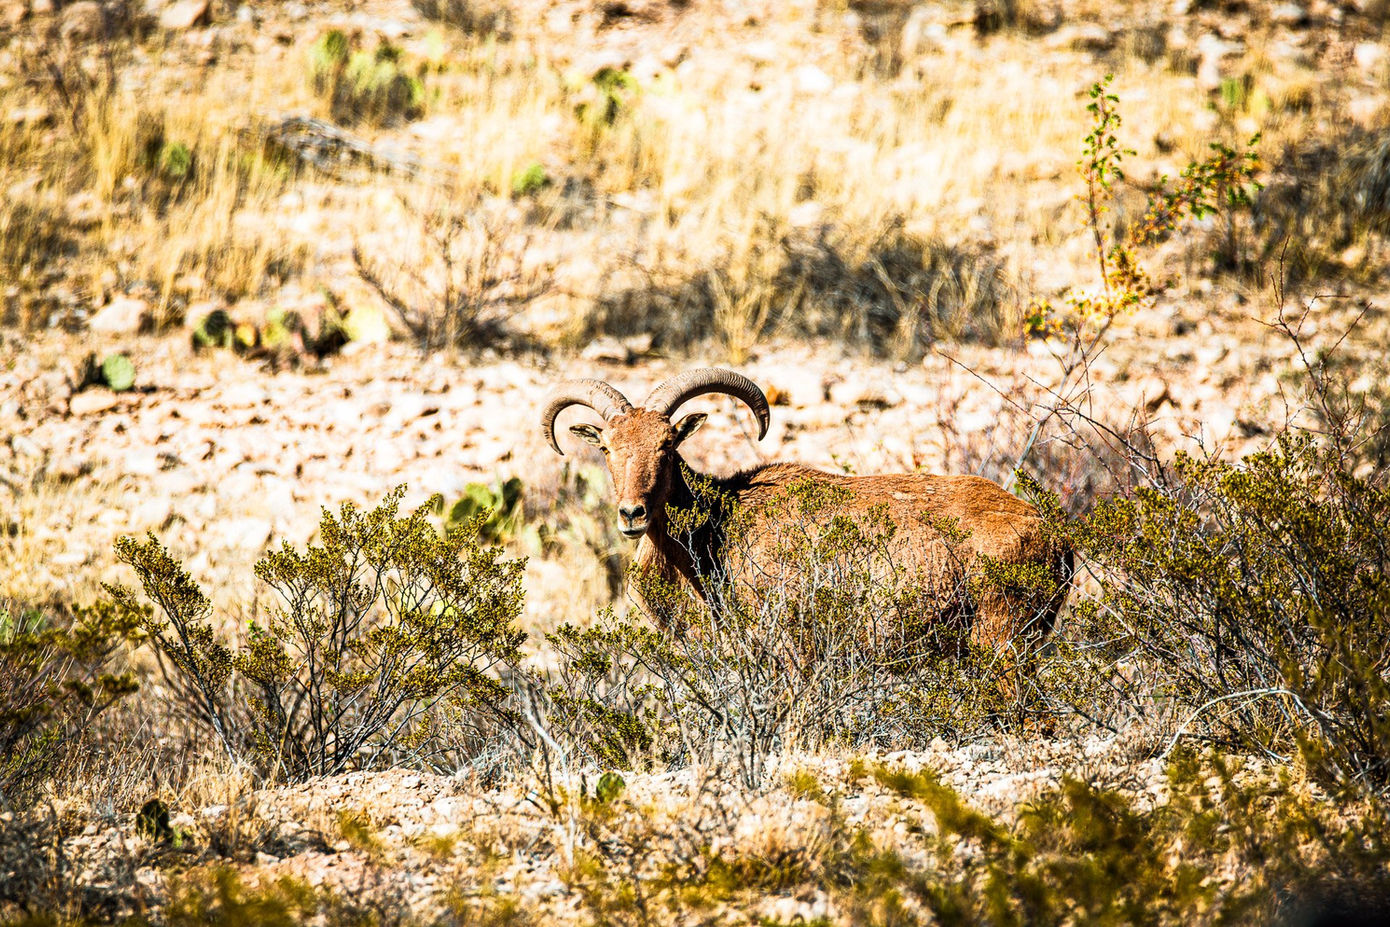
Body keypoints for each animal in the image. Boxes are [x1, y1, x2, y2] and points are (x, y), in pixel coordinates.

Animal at [540, 368, 1073, 657]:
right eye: (606, 448)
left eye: (668, 445)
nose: (632, 514)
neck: (713, 534)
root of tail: (1057, 540)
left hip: (999, 632)